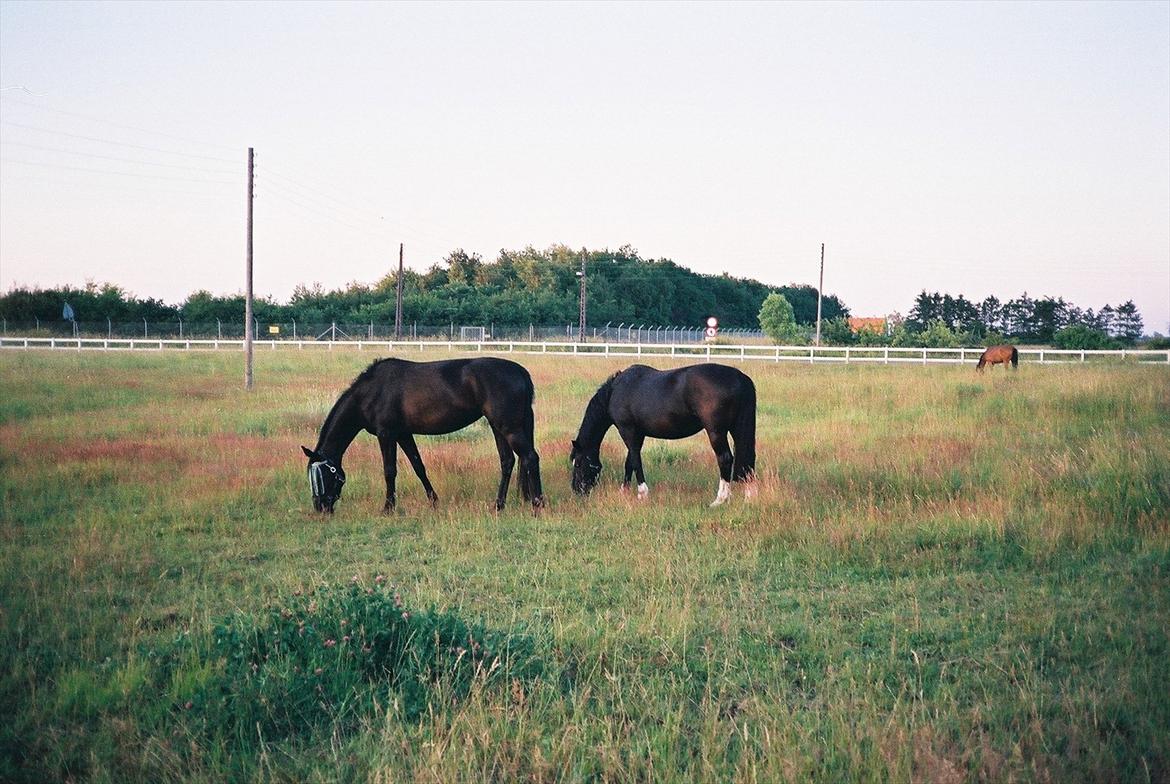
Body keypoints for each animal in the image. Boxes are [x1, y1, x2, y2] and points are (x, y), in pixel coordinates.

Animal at [299, 358, 540, 514]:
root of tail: (521, 372)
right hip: (498, 427)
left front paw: (388, 508)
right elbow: (418, 467)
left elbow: (389, 471)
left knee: (530, 457)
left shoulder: (386, 434)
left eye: (320, 475)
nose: (321, 507)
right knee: (507, 461)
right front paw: (434, 501)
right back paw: (499, 505)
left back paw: (537, 504)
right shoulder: (403, 434)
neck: (372, 391)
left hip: (509, 427)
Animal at [568, 365, 758, 507]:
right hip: (737, 429)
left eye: (578, 463)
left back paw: (719, 500)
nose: (577, 490)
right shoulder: (638, 434)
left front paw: (642, 494)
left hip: (716, 432)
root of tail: (740, 378)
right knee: (747, 460)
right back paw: (749, 497)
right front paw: (624, 491)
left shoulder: (627, 430)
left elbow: (635, 461)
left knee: (725, 459)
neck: (615, 391)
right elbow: (629, 462)